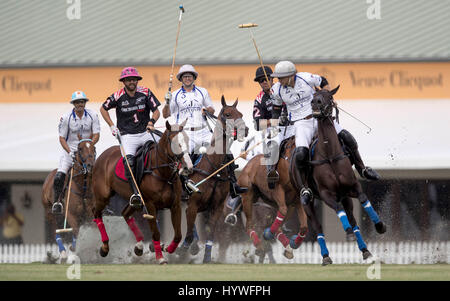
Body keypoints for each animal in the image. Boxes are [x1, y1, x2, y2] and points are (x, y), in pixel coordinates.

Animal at [93, 119, 193, 262]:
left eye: (187, 139)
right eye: (175, 143)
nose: (188, 167)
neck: (162, 173)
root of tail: (102, 156)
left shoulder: (175, 205)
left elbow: (178, 235)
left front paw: (165, 248)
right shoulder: (150, 205)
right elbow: (156, 233)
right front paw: (160, 258)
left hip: (134, 201)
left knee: (125, 213)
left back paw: (139, 246)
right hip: (103, 196)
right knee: (96, 213)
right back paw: (105, 247)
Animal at [175, 95, 250, 262]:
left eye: (241, 114)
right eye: (228, 114)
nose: (246, 130)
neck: (214, 168)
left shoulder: (217, 207)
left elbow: (211, 234)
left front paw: (207, 258)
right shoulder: (193, 204)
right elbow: (188, 233)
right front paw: (182, 250)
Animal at [236, 132, 310, 260]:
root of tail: (249, 163)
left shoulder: (296, 200)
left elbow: (304, 225)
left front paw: (294, 243)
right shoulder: (278, 190)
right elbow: (282, 212)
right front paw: (268, 234)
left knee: (280, 223)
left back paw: (287, 248)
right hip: (248, 197)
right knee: (249, 225)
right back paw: (259, 245)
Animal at [304, 85, 388, 264]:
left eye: (329, 96)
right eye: (314, 95)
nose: (315, 102)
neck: (329, 154)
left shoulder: (352, 186)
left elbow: (363, 199)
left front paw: (379, 226)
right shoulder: (326, 193)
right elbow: (337, 208)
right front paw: (347, 231)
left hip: (345, 196)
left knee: (353, 218)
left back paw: (365, 251)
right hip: (308, 201)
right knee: (317, 225)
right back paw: (326, 256)